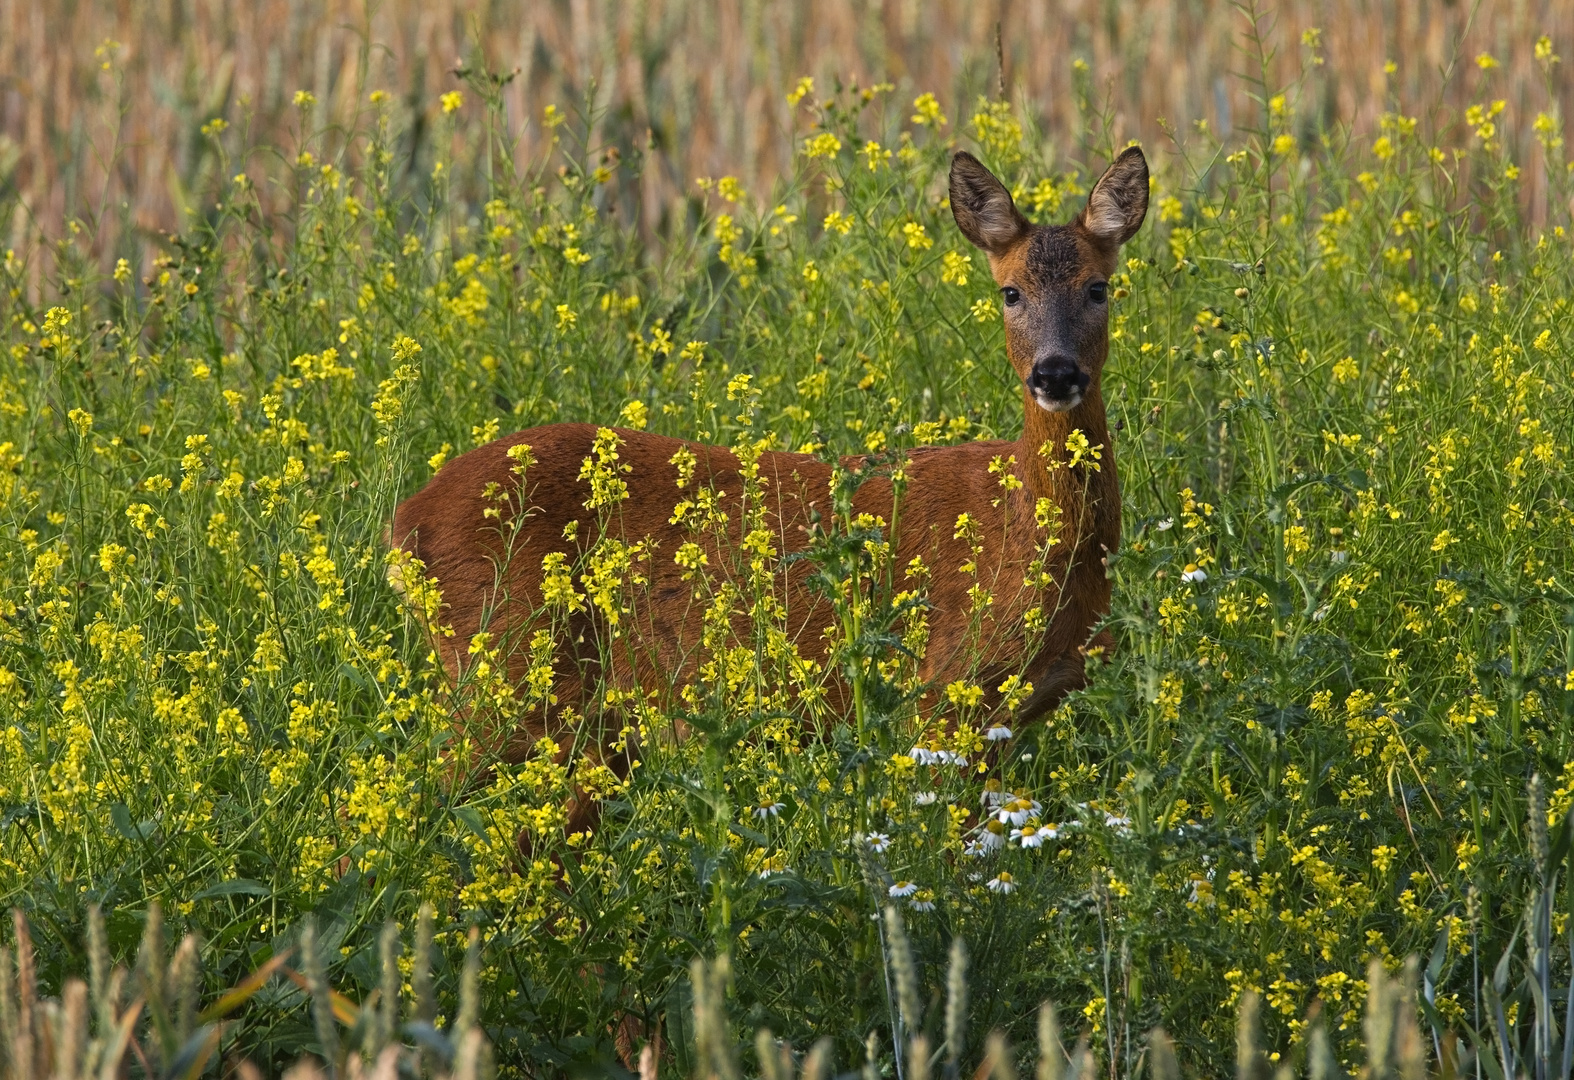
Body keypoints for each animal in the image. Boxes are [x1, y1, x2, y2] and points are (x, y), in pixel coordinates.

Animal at [387, 145, 1152, 831]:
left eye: (1099, 288)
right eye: (1010, 291)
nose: (1055, 373)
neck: (1028, 529)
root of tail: (405, 521)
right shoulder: (941, 690)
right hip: (509, 675)